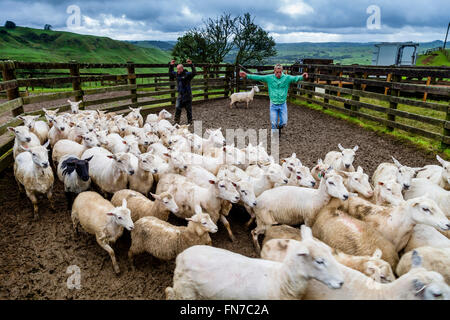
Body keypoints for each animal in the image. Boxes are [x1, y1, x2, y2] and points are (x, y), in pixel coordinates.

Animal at [165, 225, 344, 300]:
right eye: (319, 261)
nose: (341, 282)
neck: (280, 280)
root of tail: (182, 255)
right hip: (186, 291)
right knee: (170, 293)